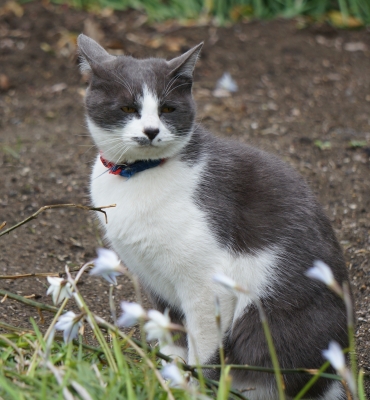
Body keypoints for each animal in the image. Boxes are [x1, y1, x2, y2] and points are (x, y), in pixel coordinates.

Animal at [77, 35, 350, 400]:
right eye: (127, 109)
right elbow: (173, 336)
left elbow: (203, 351)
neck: (136, 176)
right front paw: (168, 380)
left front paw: (193, 389)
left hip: (272, 323)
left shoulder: (208, 285)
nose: (151, 131)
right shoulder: (153, 280)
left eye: (167, 109)